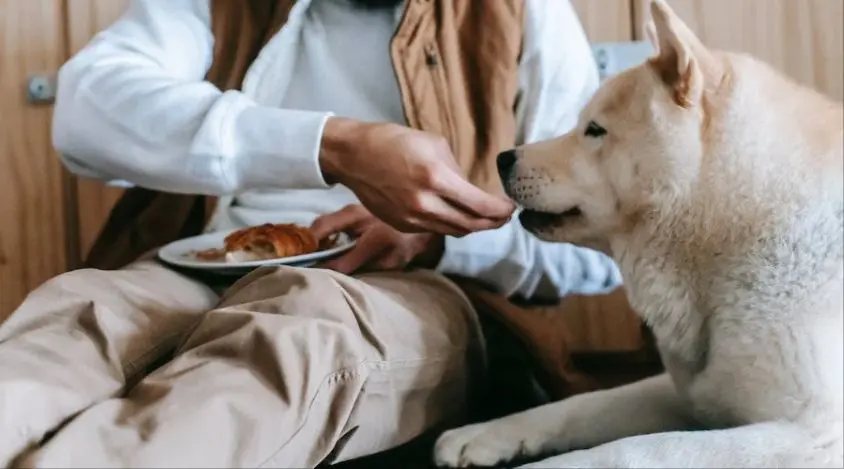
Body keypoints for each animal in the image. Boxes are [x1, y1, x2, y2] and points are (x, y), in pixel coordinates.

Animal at [432, 1, 840, 466]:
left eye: (594, 130)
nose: (502, 159)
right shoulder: (686, 392)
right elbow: (582, 404)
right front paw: (482, 432)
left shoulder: (814, 434)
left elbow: (633, 449)